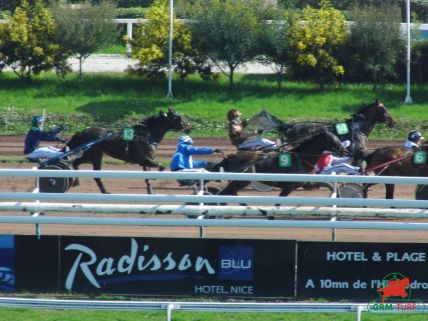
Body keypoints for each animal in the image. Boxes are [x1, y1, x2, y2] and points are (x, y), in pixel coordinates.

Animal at [216, 128, 350, 198]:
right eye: (333, 139)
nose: (345, 150)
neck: (300, 159)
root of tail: (232, 155)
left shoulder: (307, 184)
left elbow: (328, 184)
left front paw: (338, 194)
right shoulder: (288, 187)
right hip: (241, 180)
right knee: (224, 193)